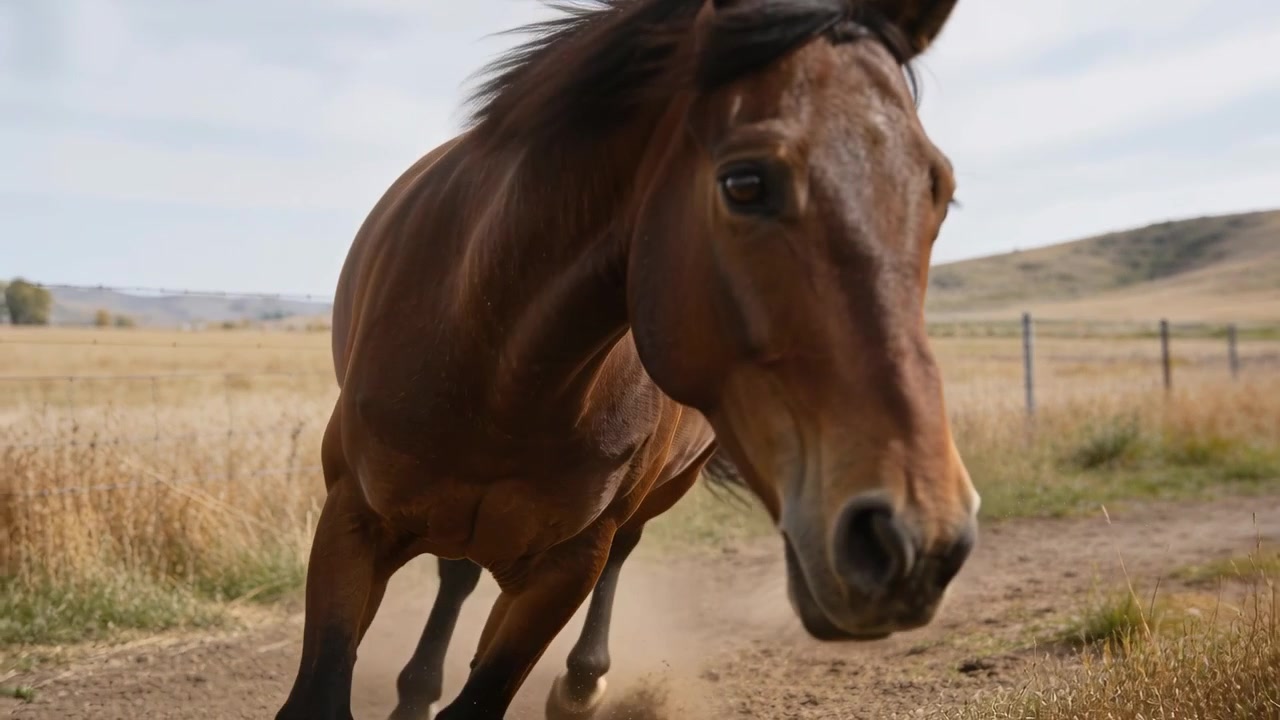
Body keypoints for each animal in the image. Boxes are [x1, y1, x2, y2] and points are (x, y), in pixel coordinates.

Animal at [276, 1, 980, 718]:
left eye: (939, 192)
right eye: (745, 182)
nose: (915, 541)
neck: (498, 368)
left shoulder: (567, 566)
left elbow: (491, 681)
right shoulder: (352, 522)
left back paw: (579, 684)